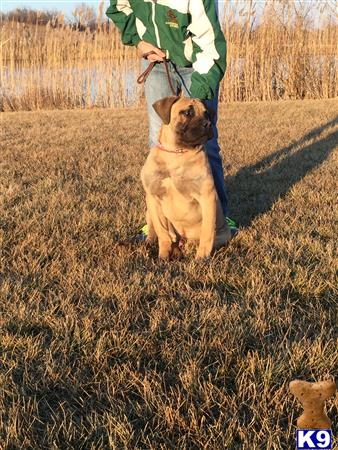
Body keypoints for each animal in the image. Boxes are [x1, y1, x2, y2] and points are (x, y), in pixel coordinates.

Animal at [141, 96, 232, 260]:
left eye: (207, 114)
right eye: (187, 113)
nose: (208, 124)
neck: (176, 153)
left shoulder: (207, 196)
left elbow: (207, 232)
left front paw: (201, 258)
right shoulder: (153, 197)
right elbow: (162, 232)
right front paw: (163, 255)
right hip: (149, 210)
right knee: (157, 231)